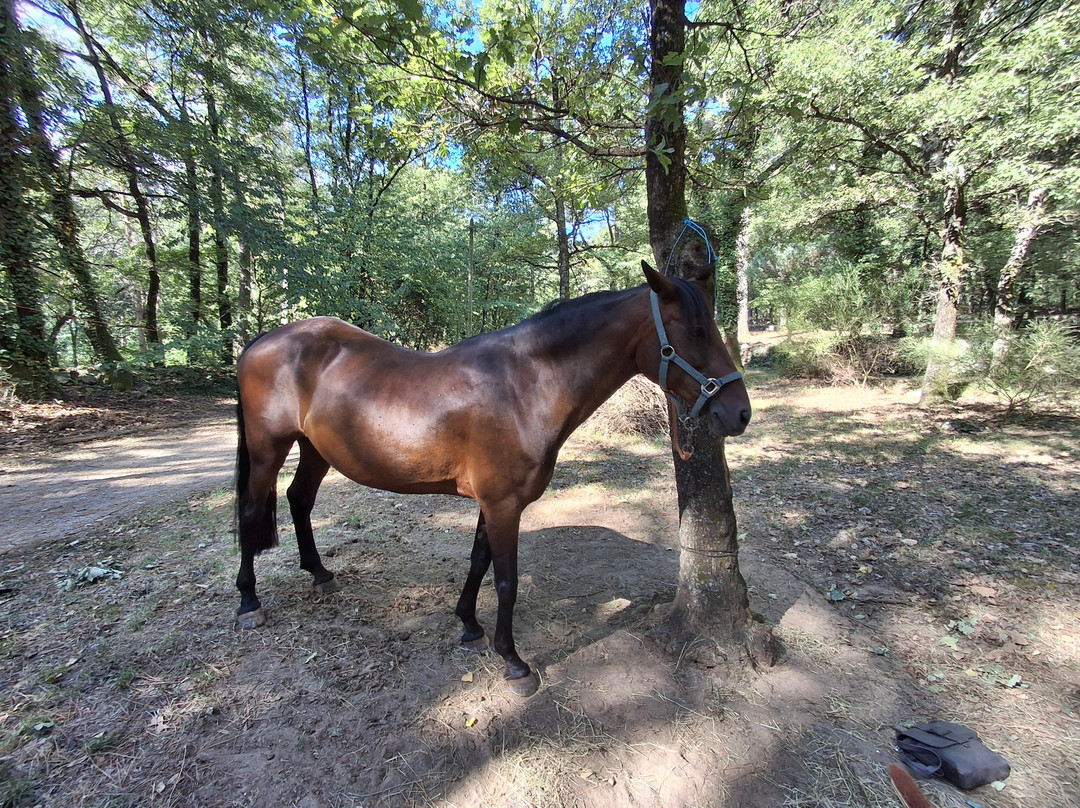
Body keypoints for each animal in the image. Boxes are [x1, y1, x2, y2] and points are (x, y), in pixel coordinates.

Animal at [234, 261, 751, 696]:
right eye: (697, 331)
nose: (740, 413)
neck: (524, 387)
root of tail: (261, 342)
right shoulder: (503, 504)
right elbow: (505, 580)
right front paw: (514, 662)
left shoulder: (493, 502)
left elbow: (479, 561)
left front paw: (468, 625)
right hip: (267, 448)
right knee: (251, 511)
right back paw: (248, 602)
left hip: (314, 449)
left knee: (299, 499)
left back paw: (319, 574)